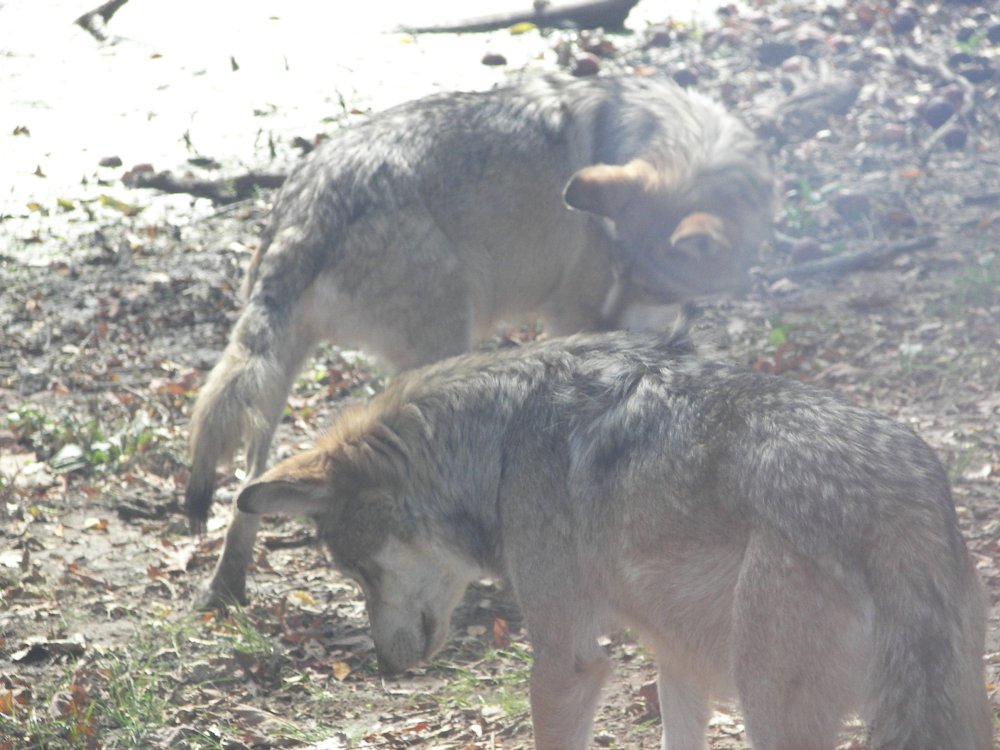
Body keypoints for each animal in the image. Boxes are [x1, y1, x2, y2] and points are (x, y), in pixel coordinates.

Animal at [184, 73, 768, 608]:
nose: (610, 325)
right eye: (621, 271)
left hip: (276, 378)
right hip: (444, 343)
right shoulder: (571, 309)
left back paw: (226, 587)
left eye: (646, 283)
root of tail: (309, 209)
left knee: (247, 488)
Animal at [236, 318, 992, 750]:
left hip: (775, 710)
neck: (499, 442)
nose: (390, 668)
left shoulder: (567, 662)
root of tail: (897, 504)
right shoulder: (678, 657)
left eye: (361, 572)